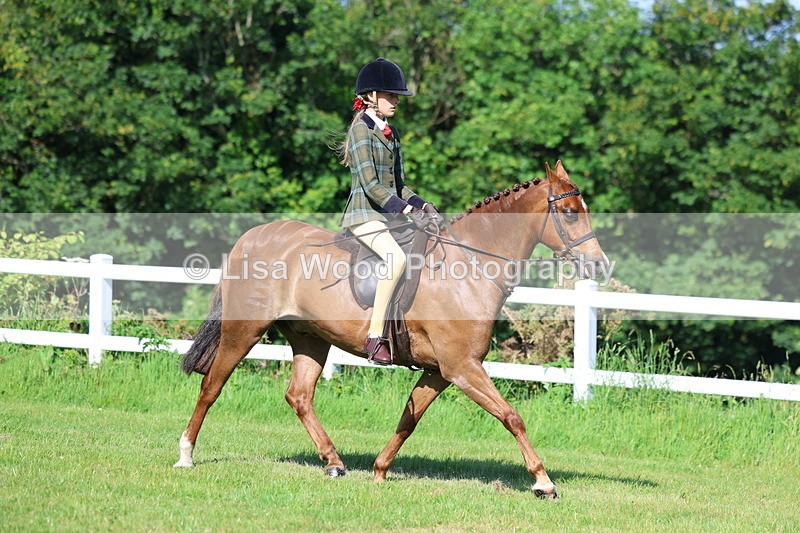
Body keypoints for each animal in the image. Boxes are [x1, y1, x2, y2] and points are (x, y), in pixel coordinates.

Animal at [175, 161, 608, 500]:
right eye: (570, 212)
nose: (600, 266)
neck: (468, 268)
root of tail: (252, 237)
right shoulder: (463, 368)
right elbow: (512, 416)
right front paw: (543, 482)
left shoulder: (440, 372)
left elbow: (408, 420)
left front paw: (380, 470)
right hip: (243, 330)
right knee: (211, 386)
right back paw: (185, 455)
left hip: (310, 338)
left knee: (299, 396)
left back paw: (334, 462)